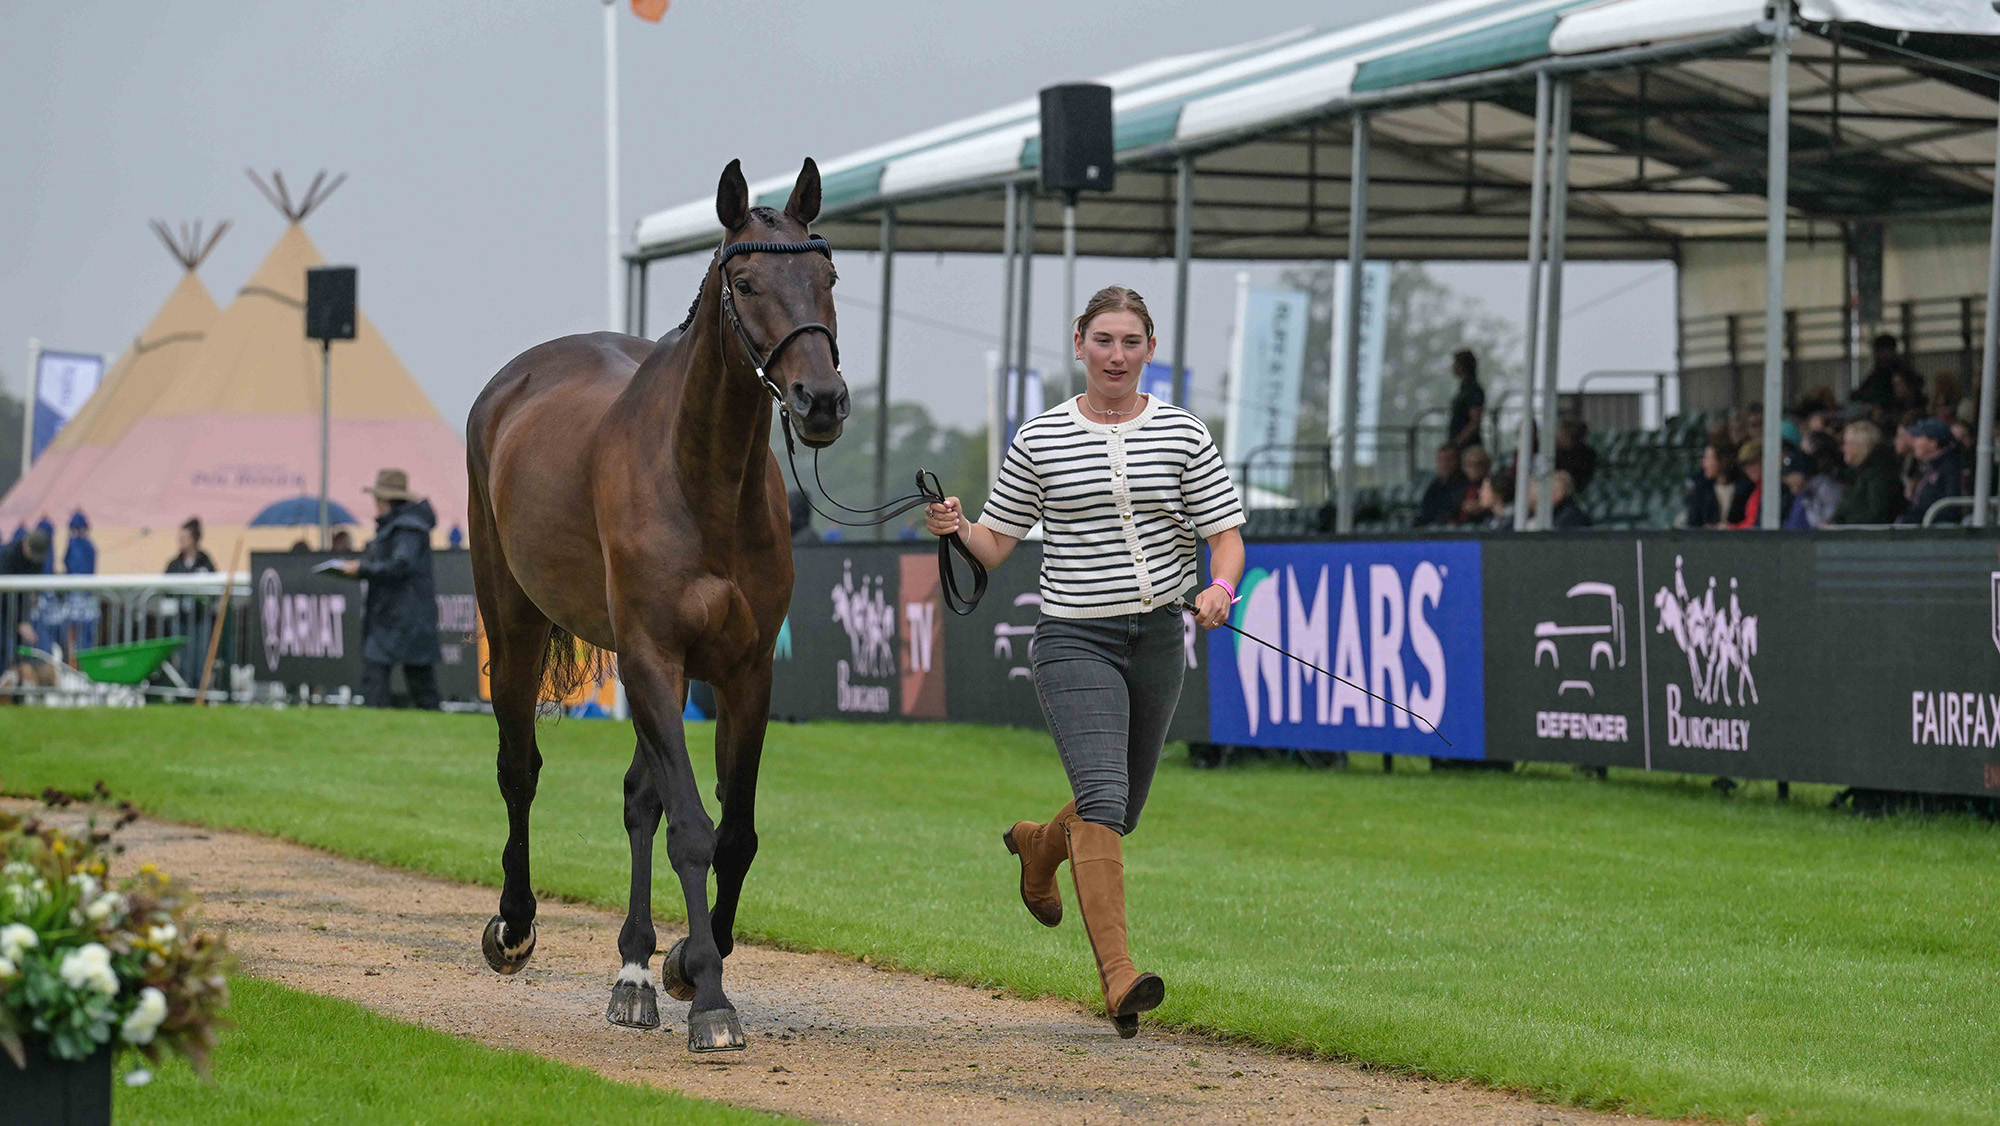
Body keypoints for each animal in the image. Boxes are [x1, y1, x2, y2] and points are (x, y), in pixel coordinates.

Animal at [464, 157, 846, 1053]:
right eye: (746, 281)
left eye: (827, 275)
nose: (820, 401)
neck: (700, 483)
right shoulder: (651, 656)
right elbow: (692, 827)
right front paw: (709, 999)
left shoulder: (741, 673)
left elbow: (731, 833)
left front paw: (678, 965)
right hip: (516, 621)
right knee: (520, 767)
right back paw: (517, 924)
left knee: (640, 797)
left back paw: (634, 971)